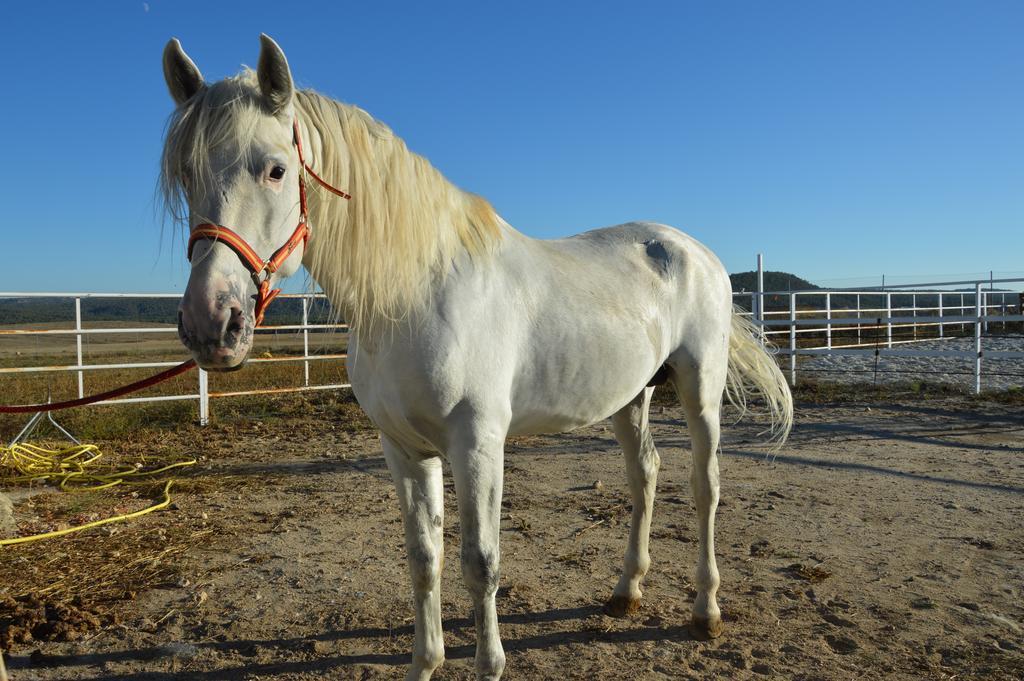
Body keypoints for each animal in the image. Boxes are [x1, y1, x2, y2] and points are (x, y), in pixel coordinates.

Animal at [161, 34, 790, 675]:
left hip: (699, 388)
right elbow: (424, 560)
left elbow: (480, 563)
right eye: (185, 173)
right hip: (630, 397)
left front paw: (489, 666)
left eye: (276, 169)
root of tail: (692, 250)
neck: (415, 294)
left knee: (704, 487)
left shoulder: (478, 445)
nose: (211, 323)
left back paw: (706, 610)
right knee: (645, 476)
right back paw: (625, 592)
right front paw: (425, 663)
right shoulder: (405, 449)